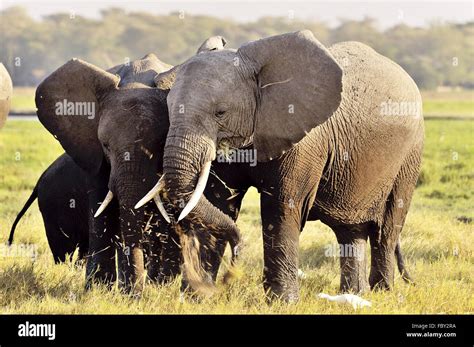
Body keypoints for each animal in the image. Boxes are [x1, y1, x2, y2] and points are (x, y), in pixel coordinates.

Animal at [139, 31, 424, 304]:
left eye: (220, 112)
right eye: (169, 109)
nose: (232, 273)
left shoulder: (304, 141)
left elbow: (281, 208)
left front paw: (283, 302)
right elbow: (218, 202)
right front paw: (198, 298)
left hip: (410, 155)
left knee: (387, 227)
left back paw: (382, 292)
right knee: (350, 232)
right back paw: (357, 293)